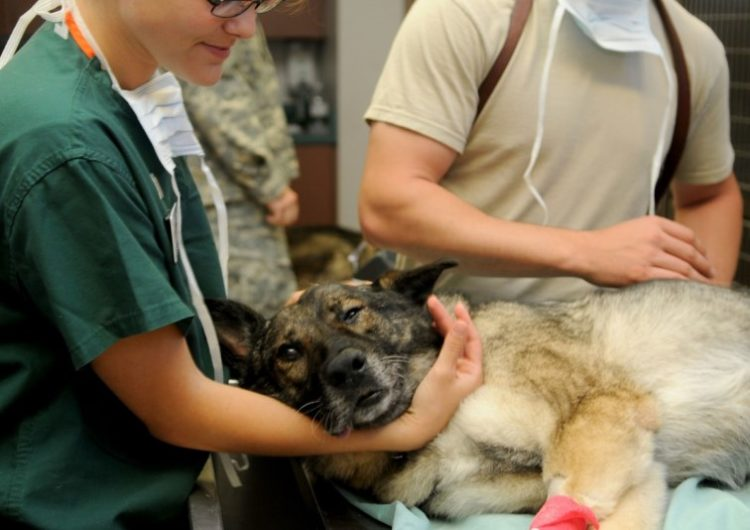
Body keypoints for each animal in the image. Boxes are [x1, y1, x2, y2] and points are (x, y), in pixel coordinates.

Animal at [209, 260, 750, 528]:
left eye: (352, 312)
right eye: (289, 351)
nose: (346, 368)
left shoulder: (595, 414)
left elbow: (574, 495)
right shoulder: (633, 469)